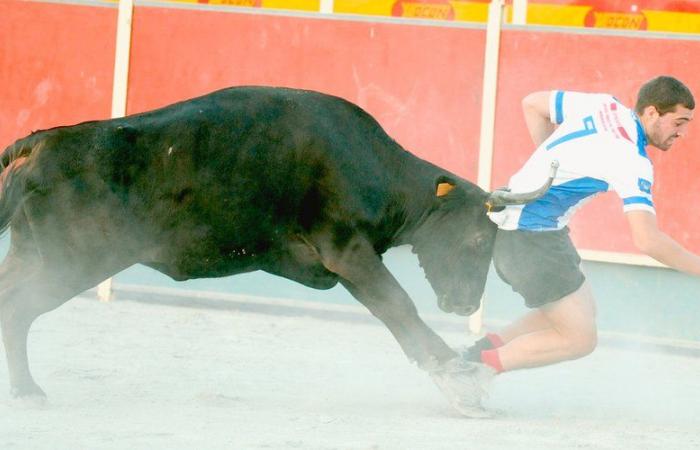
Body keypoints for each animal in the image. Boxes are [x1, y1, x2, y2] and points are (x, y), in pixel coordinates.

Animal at [0, 86, 552, 406]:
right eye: (478, 238)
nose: (465, 305)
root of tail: (41, 142)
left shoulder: (346, 263)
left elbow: (392, 312)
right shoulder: (347, 250)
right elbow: (399, 305)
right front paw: (458, 376)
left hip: (34, 254)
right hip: (69, 262)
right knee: (18, 309)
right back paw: (28, 391)